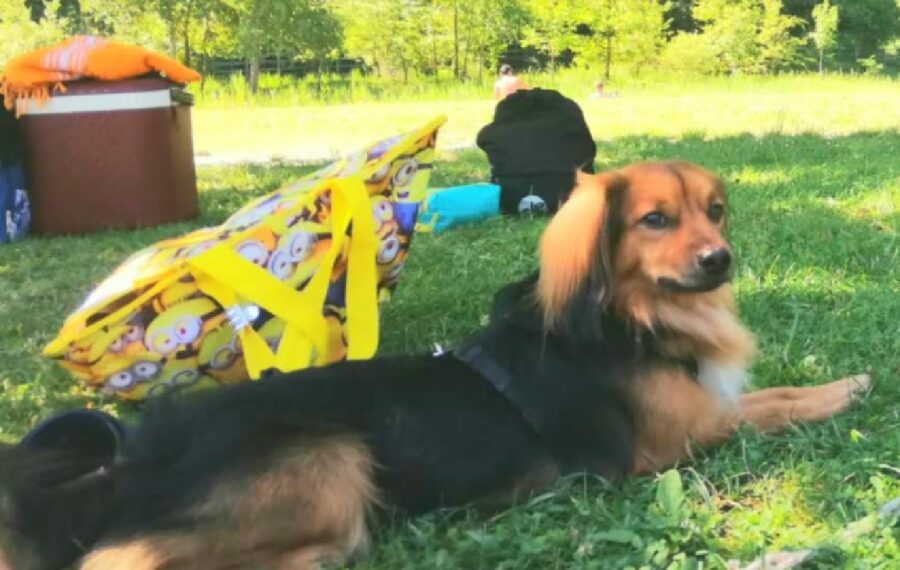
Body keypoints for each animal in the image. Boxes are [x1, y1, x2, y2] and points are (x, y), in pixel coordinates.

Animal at [1, 160, 872, 568]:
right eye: (655, 220)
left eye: (714, 211)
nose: (719, 260)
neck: (635, 314)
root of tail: (135, 455)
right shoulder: (674, 443)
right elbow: (769, 409)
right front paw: (846, 391)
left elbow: (775, 389)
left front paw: (838, 379)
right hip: (329, 460)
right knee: (115, 558)